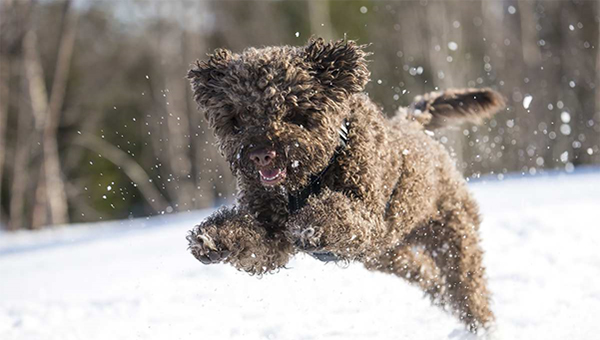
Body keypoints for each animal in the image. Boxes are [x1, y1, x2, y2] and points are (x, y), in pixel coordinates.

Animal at [185, 37, 504, 332]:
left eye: (292, 111)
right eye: (237, 117)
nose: (261, 154)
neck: (305, 182)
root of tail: (413, 125)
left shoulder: (368, 218)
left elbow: (338, 213)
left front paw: (314, 225)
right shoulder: (272, 233)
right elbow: (255, 242)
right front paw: (214, 238)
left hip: (452, 237)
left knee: (468, 289)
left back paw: (483, 326)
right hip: (388, 255)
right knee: (428, 276)